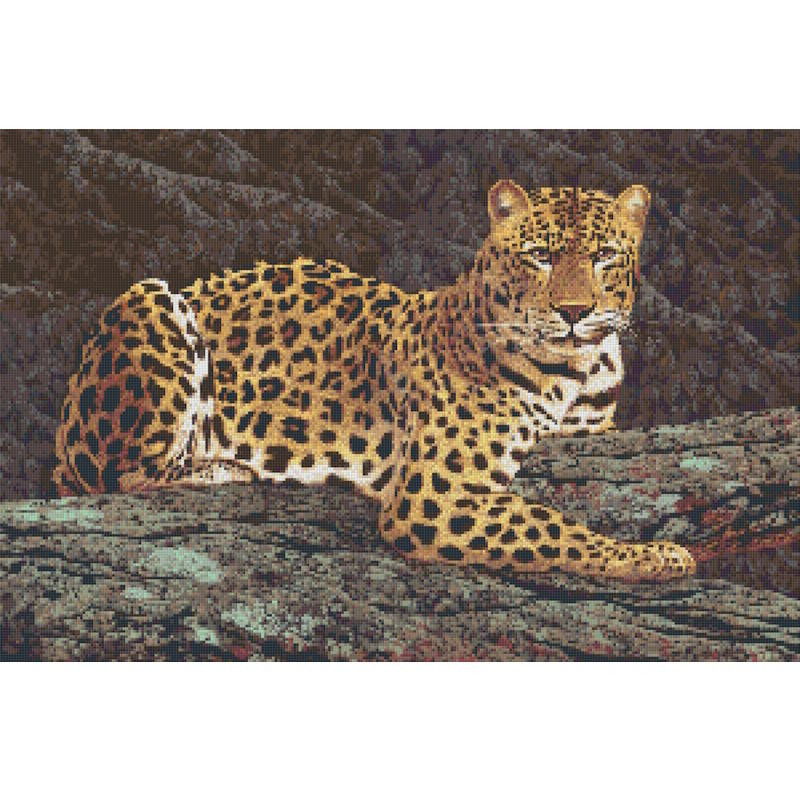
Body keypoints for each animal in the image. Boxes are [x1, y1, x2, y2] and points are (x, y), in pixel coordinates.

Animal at [52, 180, 696, 581]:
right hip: (150, 300)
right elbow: (553, 527)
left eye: (605, 256)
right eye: (538, 254)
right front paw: (660, 556)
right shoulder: (435, 493)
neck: (580, 370)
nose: (574, 311)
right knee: (116, 476)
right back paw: (223, 467)